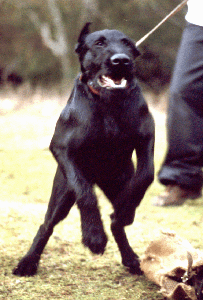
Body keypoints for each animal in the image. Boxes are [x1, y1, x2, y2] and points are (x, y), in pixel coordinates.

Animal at [13, 23, 155, 276]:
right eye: (98, 43)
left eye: (128, 44)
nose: (121, 60)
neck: (108, 104)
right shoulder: (63, 149)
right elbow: (85, 193)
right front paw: (94, 236)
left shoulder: (146, 139)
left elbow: (145, 177)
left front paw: (124, 210)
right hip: (61, 196)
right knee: (46, 225)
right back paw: (28, 262)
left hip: (116, 182)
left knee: (117, 225)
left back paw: (129, 254)